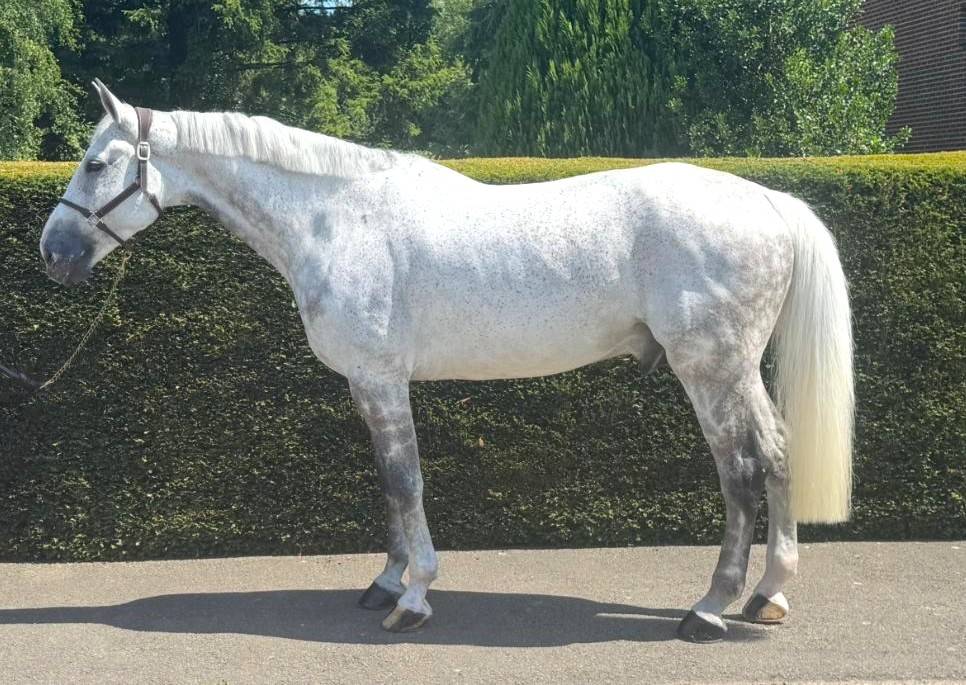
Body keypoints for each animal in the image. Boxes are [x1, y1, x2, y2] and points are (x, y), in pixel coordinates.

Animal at [40, 80, 854, 642]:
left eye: (97, 162)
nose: (54, 253)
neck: (338, 221)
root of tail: (768, 201)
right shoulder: (368, 385)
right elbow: (387, 484)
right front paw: (385, 580)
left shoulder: (381, 379)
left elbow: (406, 482)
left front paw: (413, 597)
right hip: (740, 372)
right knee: (778, 455)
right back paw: (767, 594)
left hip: (710, 371)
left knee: (741, 472)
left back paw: (710, 608)